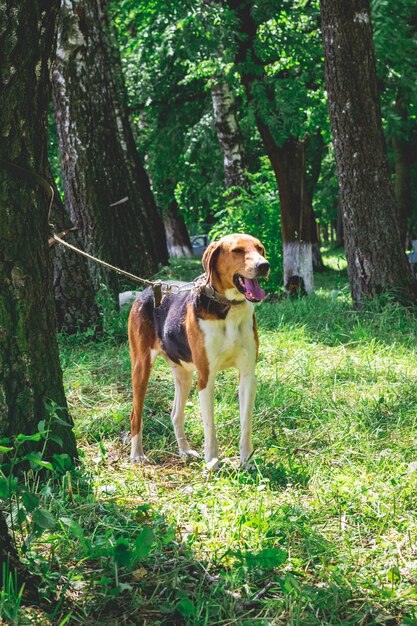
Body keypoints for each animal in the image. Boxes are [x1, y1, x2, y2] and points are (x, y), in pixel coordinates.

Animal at [127, 232, 270, 466]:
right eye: (237, 250)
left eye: (260, 249)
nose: (264, 265)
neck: (228, 308)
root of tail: (148, 288)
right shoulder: (206, 377)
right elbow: (209, 427)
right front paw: (212, 462)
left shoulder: (248, 376)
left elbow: (246, 425)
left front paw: (246, 461)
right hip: (141, 368)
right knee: (135, 415)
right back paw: (137, 454)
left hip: (183, 375)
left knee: (175, 414)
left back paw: (184, 451)